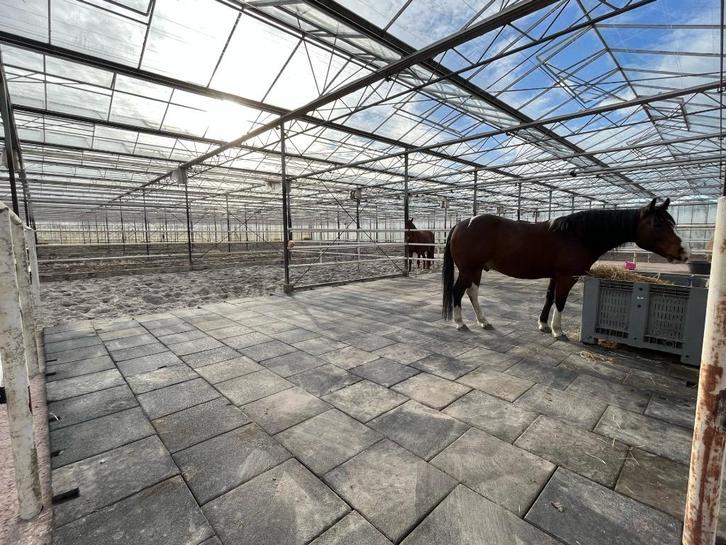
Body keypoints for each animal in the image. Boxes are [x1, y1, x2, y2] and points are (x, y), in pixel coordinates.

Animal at [441, 198, 689, 338]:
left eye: (672, 222)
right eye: (657, 223)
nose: (684, 252)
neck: (578, 235)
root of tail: (462, 223)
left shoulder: (555, 276)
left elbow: (549, 297)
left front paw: (543, 325)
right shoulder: (568, 277)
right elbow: (560, 301)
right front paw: (557, 330)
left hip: (476, 270)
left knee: (472, 292)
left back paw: (484, 321)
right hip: (469, 269)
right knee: (458, 291)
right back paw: (460, 323)